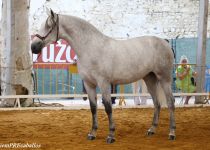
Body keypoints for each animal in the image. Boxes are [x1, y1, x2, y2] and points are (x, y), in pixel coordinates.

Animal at [31, 9, 176, 144]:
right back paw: (152, 130)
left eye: (49, 26)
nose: (33, 47)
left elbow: (107, 107)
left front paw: (111, 135)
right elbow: (93, 107)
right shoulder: (89, 84)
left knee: (170, 102)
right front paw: (92, 133)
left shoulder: (104, 83)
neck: (90, 47)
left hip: (164, 79)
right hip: (150, 79)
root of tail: (165, 43)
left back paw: (172, 133)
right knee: (157, 103)